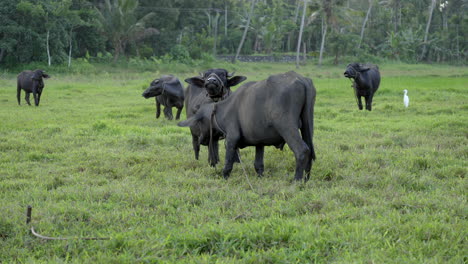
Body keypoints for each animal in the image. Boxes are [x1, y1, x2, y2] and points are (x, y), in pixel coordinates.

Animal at [177, 70, 316, 182]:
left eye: (200, 121)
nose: (201, 140)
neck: (223, 108)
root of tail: (301, 79)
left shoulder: (231, 139)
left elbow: (228, 164)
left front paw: (224, 177)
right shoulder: (259, 142)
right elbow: (258, 165)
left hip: (287, 127)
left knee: (302, 150)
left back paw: (296, 181)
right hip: (307, 126)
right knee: (310, 151)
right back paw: (305, 179)